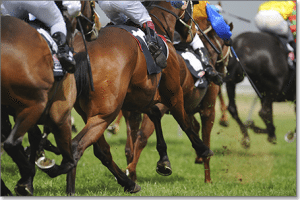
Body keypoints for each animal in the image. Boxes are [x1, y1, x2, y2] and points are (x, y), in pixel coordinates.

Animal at [0, 1, 97, 195]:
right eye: (92, 4)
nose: (94, 26)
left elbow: (35, 137)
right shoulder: (60, 115)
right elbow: (69, 160)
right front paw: (44, 168)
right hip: (36, 105)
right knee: (11, 143)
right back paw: (24, 178)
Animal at [67, 0, 213, 195]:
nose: (193, 33)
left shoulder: (140, 97)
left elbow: (154, 117)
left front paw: (164, 161)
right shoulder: (173, 92)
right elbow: (184, 122)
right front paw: (203, 149)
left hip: (89, 112)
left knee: (101, 150)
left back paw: (128, 183)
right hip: (105, 113)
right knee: (78, 146)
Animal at [123, 6, 233, 183]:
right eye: (228, 44)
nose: (222, 71)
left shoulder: (185, 108)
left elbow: (193, 127)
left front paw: (199, 156)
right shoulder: (207, 110)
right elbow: (205, 136)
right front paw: (208, 178)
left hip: (132, 109)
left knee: (130, 142)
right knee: (142, 136)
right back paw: (133, 169)